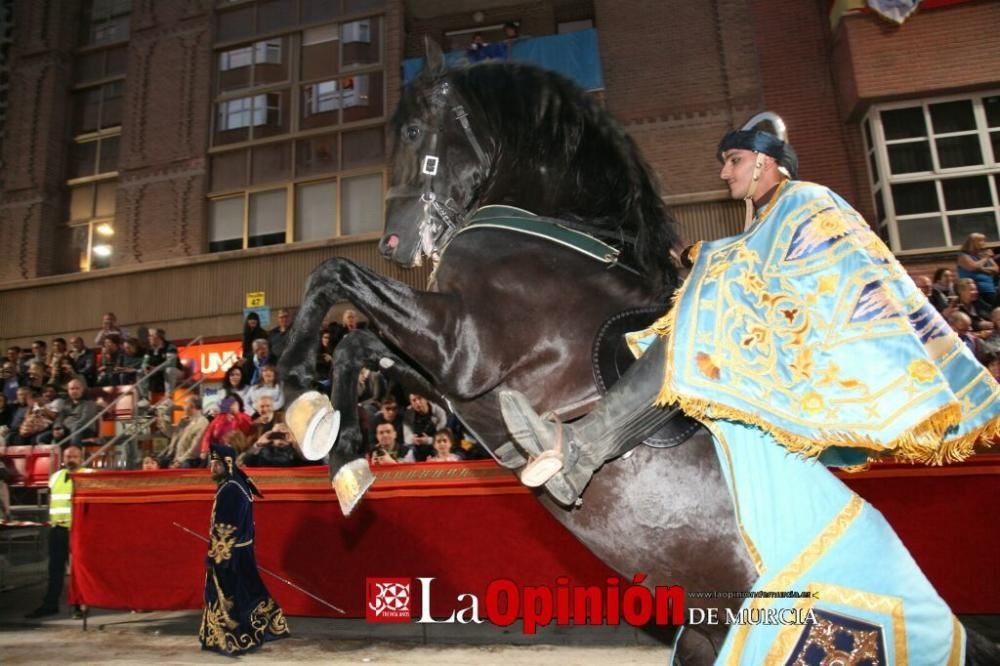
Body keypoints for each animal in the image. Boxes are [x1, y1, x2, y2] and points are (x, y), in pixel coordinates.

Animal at [280, 44, 1000, 660]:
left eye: (413, 131)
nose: (397, 245)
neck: (558, 237)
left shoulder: (465, 348)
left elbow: (332, 275)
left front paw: (292, 393)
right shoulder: (458, 379)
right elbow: (358, 344)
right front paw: (335, 449)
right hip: (707, 638)